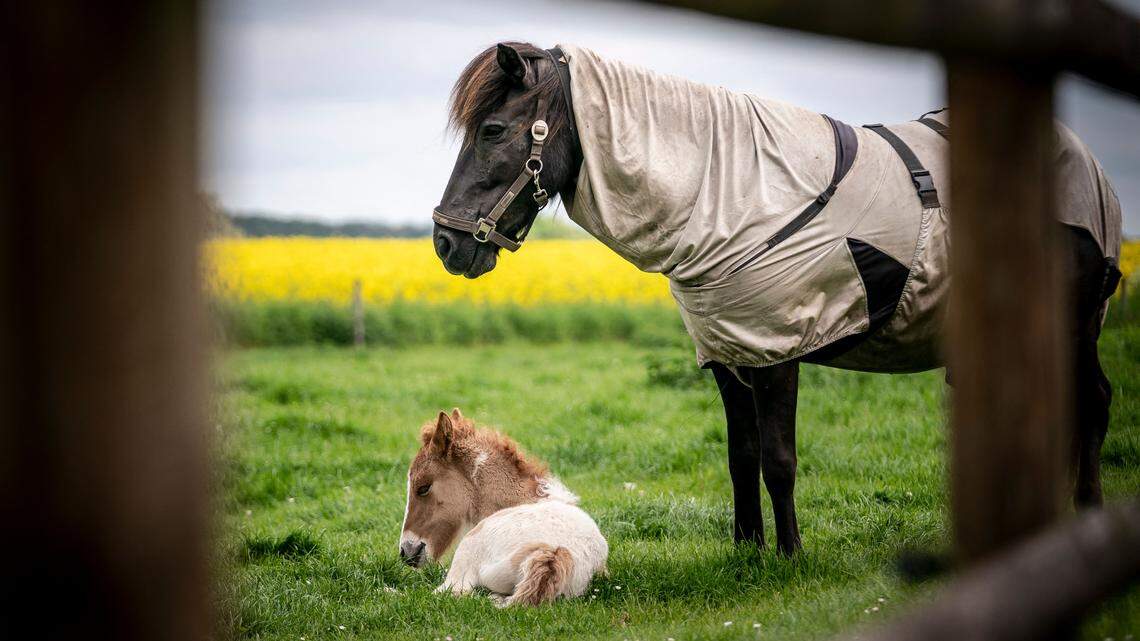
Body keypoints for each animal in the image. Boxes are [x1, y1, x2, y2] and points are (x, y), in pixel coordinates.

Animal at [430, 42, 1124, 555]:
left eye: (493, 128)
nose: (445, 241)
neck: (731, 190)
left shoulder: (776, 352)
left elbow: (778, 459)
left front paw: (790, 555)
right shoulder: (729, 356)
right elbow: (741, 458)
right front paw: (748, 550)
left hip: (1074, 328)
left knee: (1092, 402)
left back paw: (1086, 511)